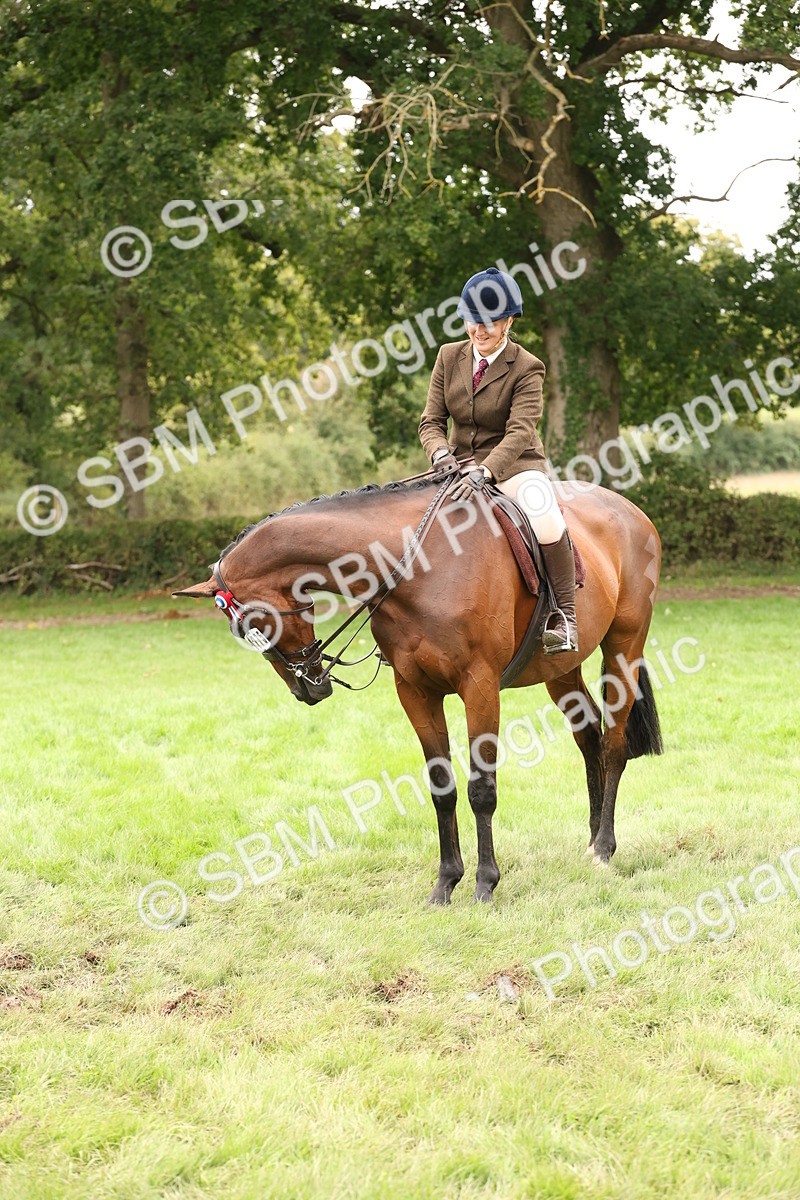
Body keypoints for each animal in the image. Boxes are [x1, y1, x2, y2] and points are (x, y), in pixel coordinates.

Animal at [174, 476, 663, 904]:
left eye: (252, 627)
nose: (307, 689)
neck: (416, 566)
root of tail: (631, 509)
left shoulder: (480, 687)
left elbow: (481, 789)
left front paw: (485, 885)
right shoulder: (414, 690)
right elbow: (441, 788)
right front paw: (446, 883)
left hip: (624, 646)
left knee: (614, 744)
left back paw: (604, 848)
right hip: (559, 670)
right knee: (590, 738)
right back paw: (591, 840)